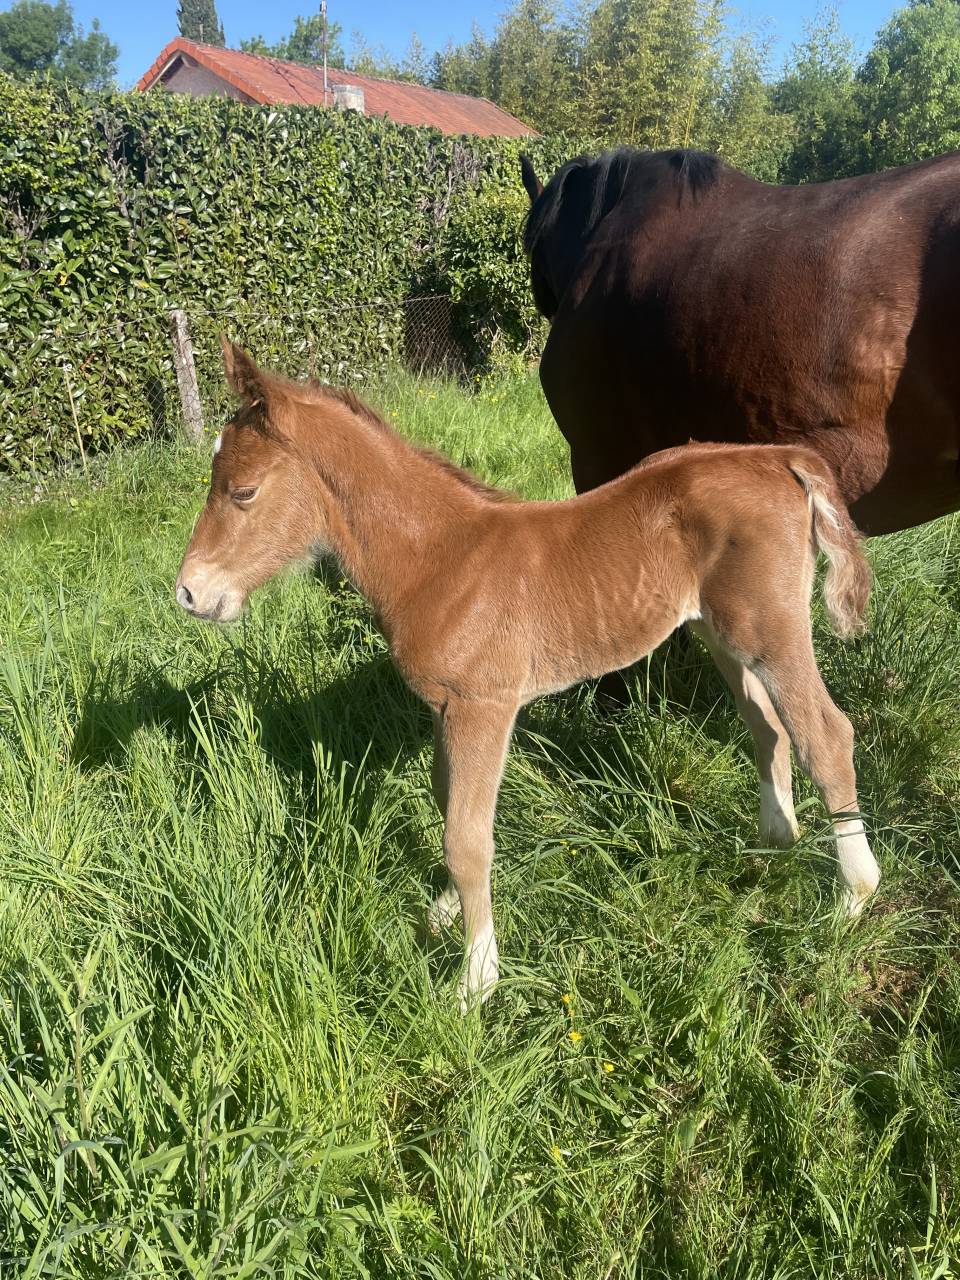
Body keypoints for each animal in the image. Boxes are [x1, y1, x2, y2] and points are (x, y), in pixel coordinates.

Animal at [176, 339, 880, 1007]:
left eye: (243, 492)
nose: (188, 593)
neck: (440, 559)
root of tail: (780, 458)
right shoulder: (446, 707)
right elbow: (448, 803)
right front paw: (446, 913)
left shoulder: (483, 705)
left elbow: (467, 837)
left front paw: (475, 980)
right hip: (721, 632)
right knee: (769, 728)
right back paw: (774, 845)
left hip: (771, 628)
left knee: (826, 735)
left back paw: (852, 898)